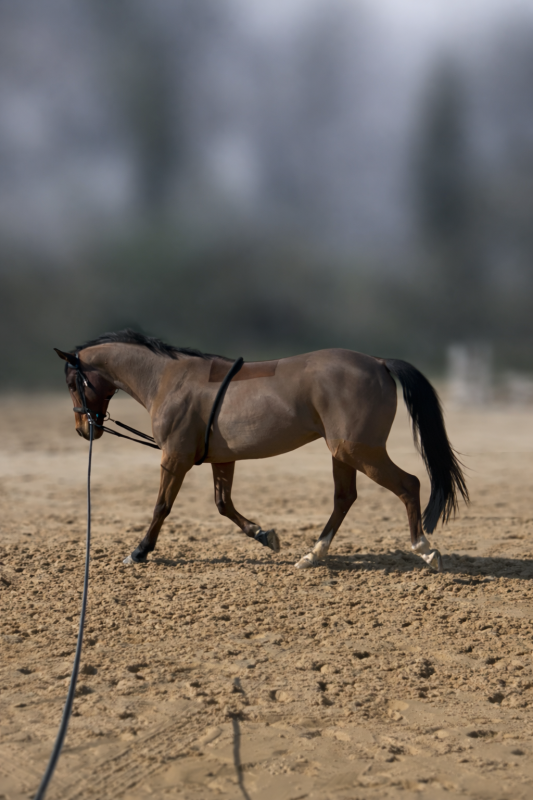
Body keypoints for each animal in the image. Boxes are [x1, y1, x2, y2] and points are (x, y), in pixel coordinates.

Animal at [54, 329, 468, 571]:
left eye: (73, 384)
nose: (83, 429)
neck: (167, 380)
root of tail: (379, 363)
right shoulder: (221, 458)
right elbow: (224, 505)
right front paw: (264, 535)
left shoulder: (174, 457)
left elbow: (162, 506)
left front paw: (139, 551)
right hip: (343, 454)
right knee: (345, 498)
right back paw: (312, 555)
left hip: (360, 451)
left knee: (409, 484)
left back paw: (424, 548)